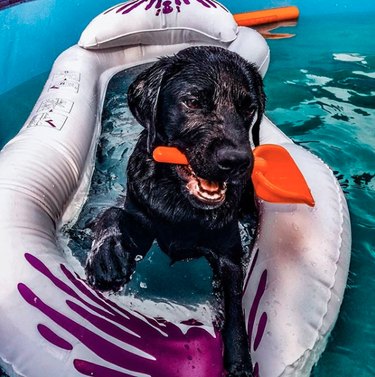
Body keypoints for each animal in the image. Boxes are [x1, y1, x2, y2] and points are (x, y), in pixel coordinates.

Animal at [86, 45, 266, 374]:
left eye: (249, 108)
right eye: (192, 102)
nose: (236, 161)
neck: (180, 204)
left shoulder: (229, 253)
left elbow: (235, 303)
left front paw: (238, 359)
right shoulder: (142, 221)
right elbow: (113, 215)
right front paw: (107, 257)